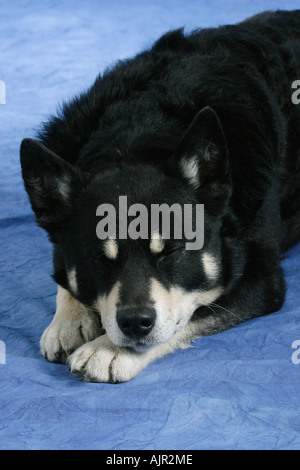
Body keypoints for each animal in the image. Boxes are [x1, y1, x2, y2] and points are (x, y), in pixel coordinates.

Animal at [20, 10, 300, 382]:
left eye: (173, 251)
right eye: (98, 258)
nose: (135, 323)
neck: (138, 133)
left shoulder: (263, 278)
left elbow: (194, 311)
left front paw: (106, 350)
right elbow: (63, 273)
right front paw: (68, 321)